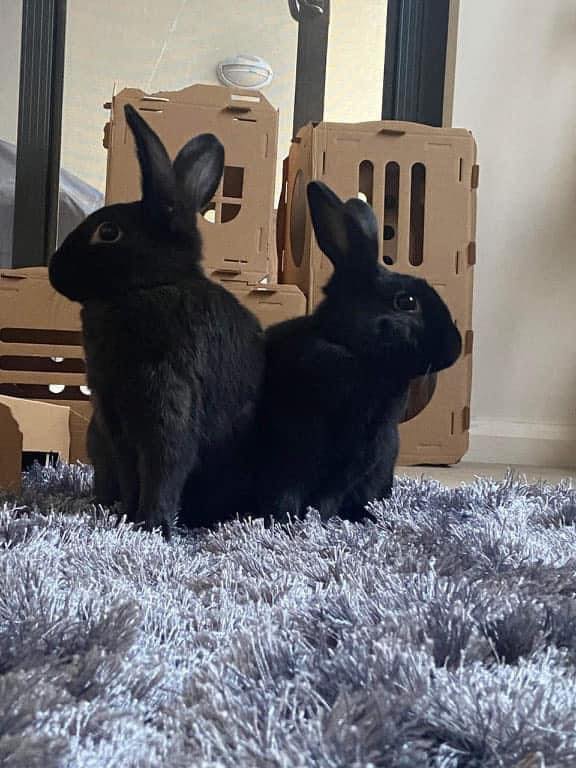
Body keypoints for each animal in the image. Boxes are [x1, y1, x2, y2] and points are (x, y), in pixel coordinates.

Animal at [49, 104, 264, 538]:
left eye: (108, 232)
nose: (52, 270)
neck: (151, 286)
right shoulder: (114, 421)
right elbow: (134, 472)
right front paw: (128, 517)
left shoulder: (166, 397)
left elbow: (165, 465)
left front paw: (150, 526)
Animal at [247, 180, 462, 524]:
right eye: (406, 302)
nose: (456, 346)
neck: (355, 353)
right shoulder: (293, 440)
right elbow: (287, 488)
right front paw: (286, 522)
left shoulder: (365, 450)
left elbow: (330, 493)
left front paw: (316, 522)